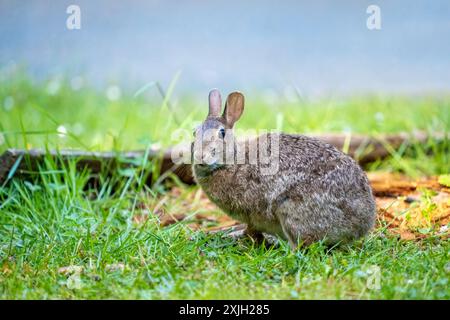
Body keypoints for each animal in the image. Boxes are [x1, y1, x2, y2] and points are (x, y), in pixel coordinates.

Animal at [192, 89, 378, 249]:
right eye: (195, 132)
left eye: (222, 133)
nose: (200, 156)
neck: (232, 162)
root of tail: (362, 224)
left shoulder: (251, 213)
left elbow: (251, 229)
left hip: (291, 213)